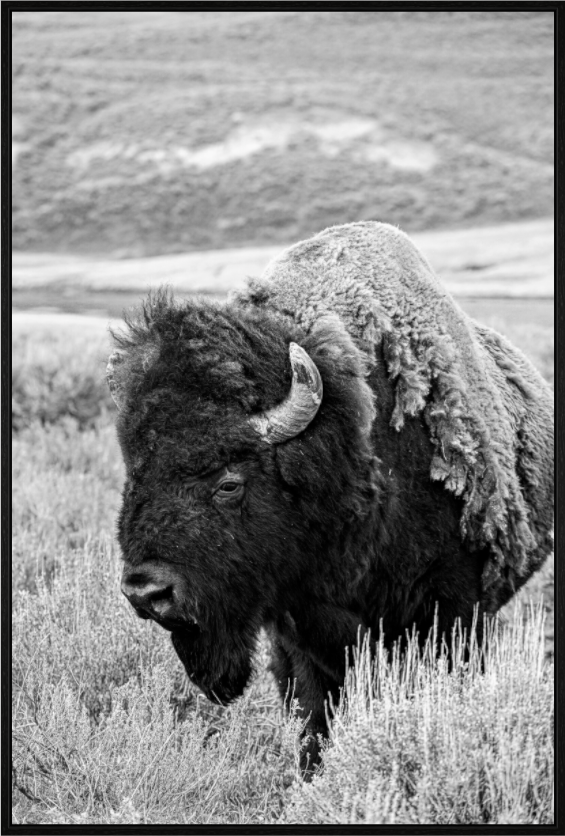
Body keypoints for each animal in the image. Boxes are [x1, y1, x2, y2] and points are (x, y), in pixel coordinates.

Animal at [107, 222, 554, 776]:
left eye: (229, 481)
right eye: (135, 472)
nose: (146, 592)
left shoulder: (450, 611)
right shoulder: (296, 630)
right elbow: (313, 713)